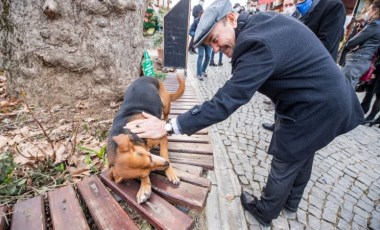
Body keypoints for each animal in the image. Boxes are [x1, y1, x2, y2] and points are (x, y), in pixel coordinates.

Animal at [107, 74, 186, 203]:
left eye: (150, 157)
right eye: (146, 172)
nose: (167, 164)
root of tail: (146, 76)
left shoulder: (160, 137)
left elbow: (164, 153)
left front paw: (170, 172)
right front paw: (144, 187)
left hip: (165, 104)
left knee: (165, 116)